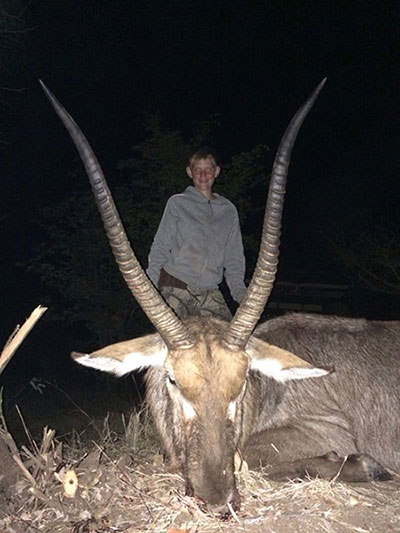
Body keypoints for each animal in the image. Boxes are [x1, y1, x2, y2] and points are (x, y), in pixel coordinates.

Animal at [40, 79, 398, 514]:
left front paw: (369, 466)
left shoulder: (330, 430)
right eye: (174, 380)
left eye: (241, 382)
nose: (216, 498)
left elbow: (250, 455)